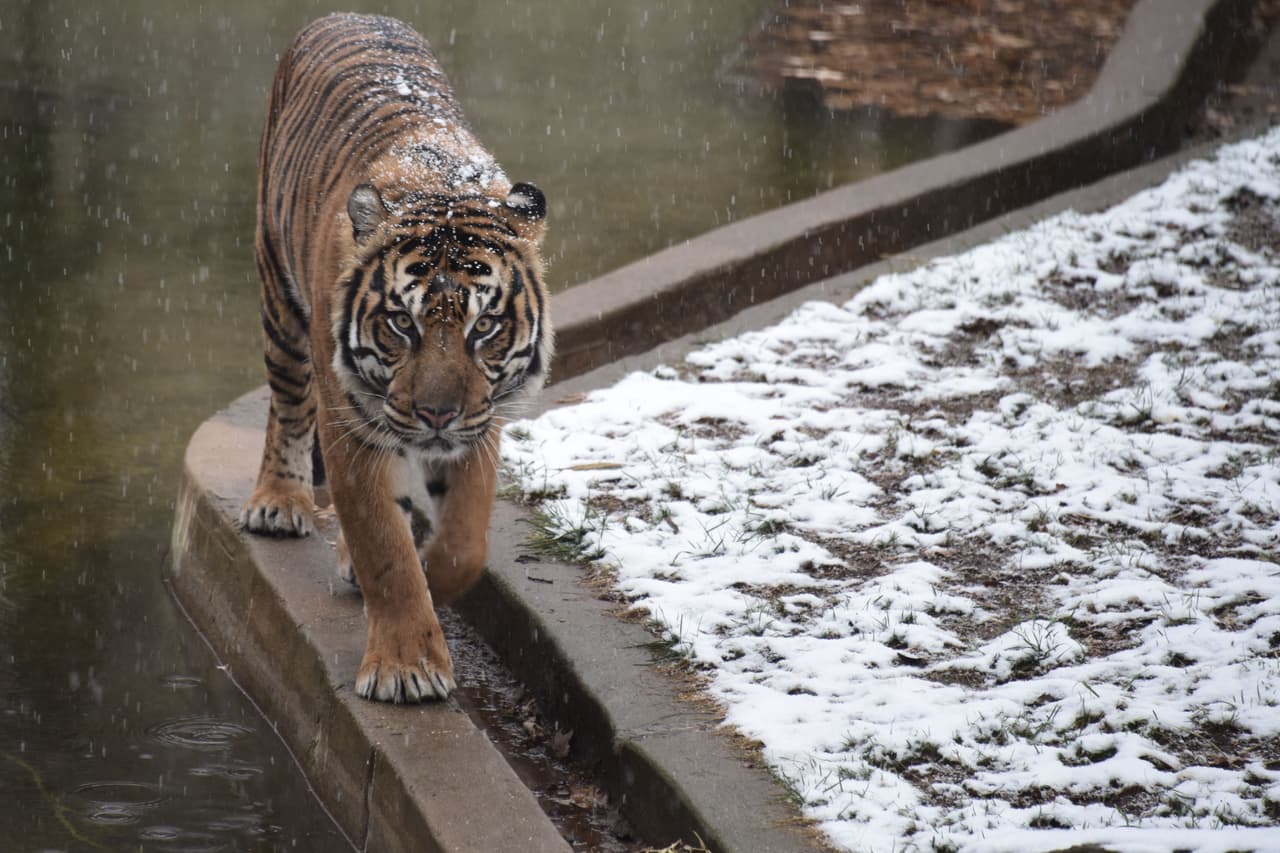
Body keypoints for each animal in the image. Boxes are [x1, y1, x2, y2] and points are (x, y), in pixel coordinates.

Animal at [238, 13, 552, 703]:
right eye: (402, 324)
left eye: (485, 326)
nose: (436, 414)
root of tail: (350, 14)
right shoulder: (350, 422)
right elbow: (385, 549)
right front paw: (407, 666)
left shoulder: (481, 420)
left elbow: (465, 538)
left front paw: (437, 571)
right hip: (278, 294)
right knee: (288, 402)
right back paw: (279, 501)